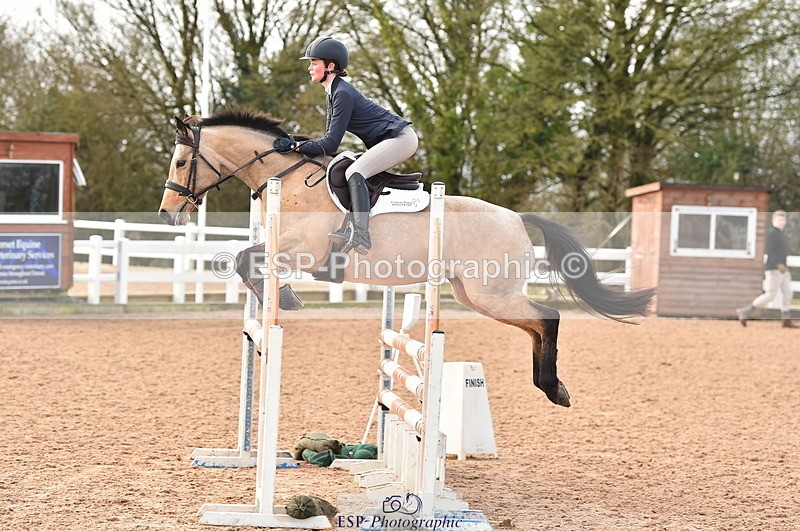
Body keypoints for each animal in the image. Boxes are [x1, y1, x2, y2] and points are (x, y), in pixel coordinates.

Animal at [158, 108, 655, 408]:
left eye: (181, 163)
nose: (167, 213)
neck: (286, 175)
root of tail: (517, 217)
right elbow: (244, 259)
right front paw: (282, 298)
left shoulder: (304, 251)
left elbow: (245, 259)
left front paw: (286, 299)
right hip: (475, 295)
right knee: (535, 324)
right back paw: (552, 386)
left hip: (491, 294)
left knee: (547, 317)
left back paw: (553, 389)